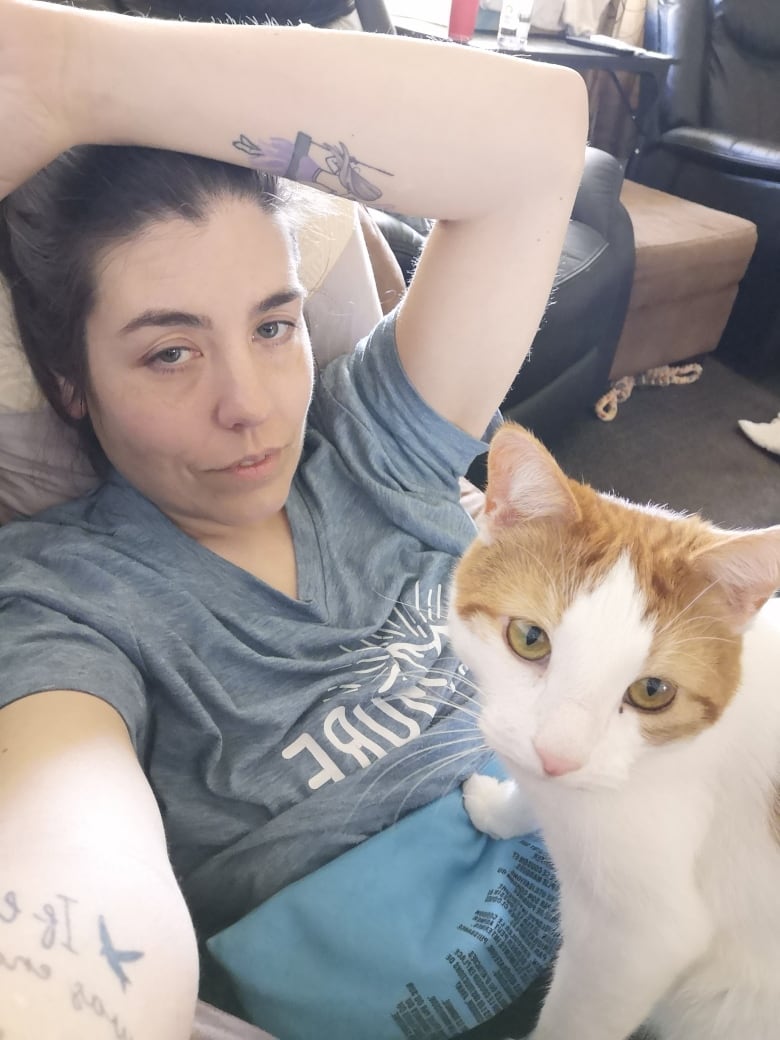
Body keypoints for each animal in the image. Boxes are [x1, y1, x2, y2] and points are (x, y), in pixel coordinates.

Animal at [449, 422, 777, 1040]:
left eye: (652, 692)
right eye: (529, 638)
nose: (557, 756)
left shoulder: (637, 941)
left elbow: (575, 1018)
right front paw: (497, 809)